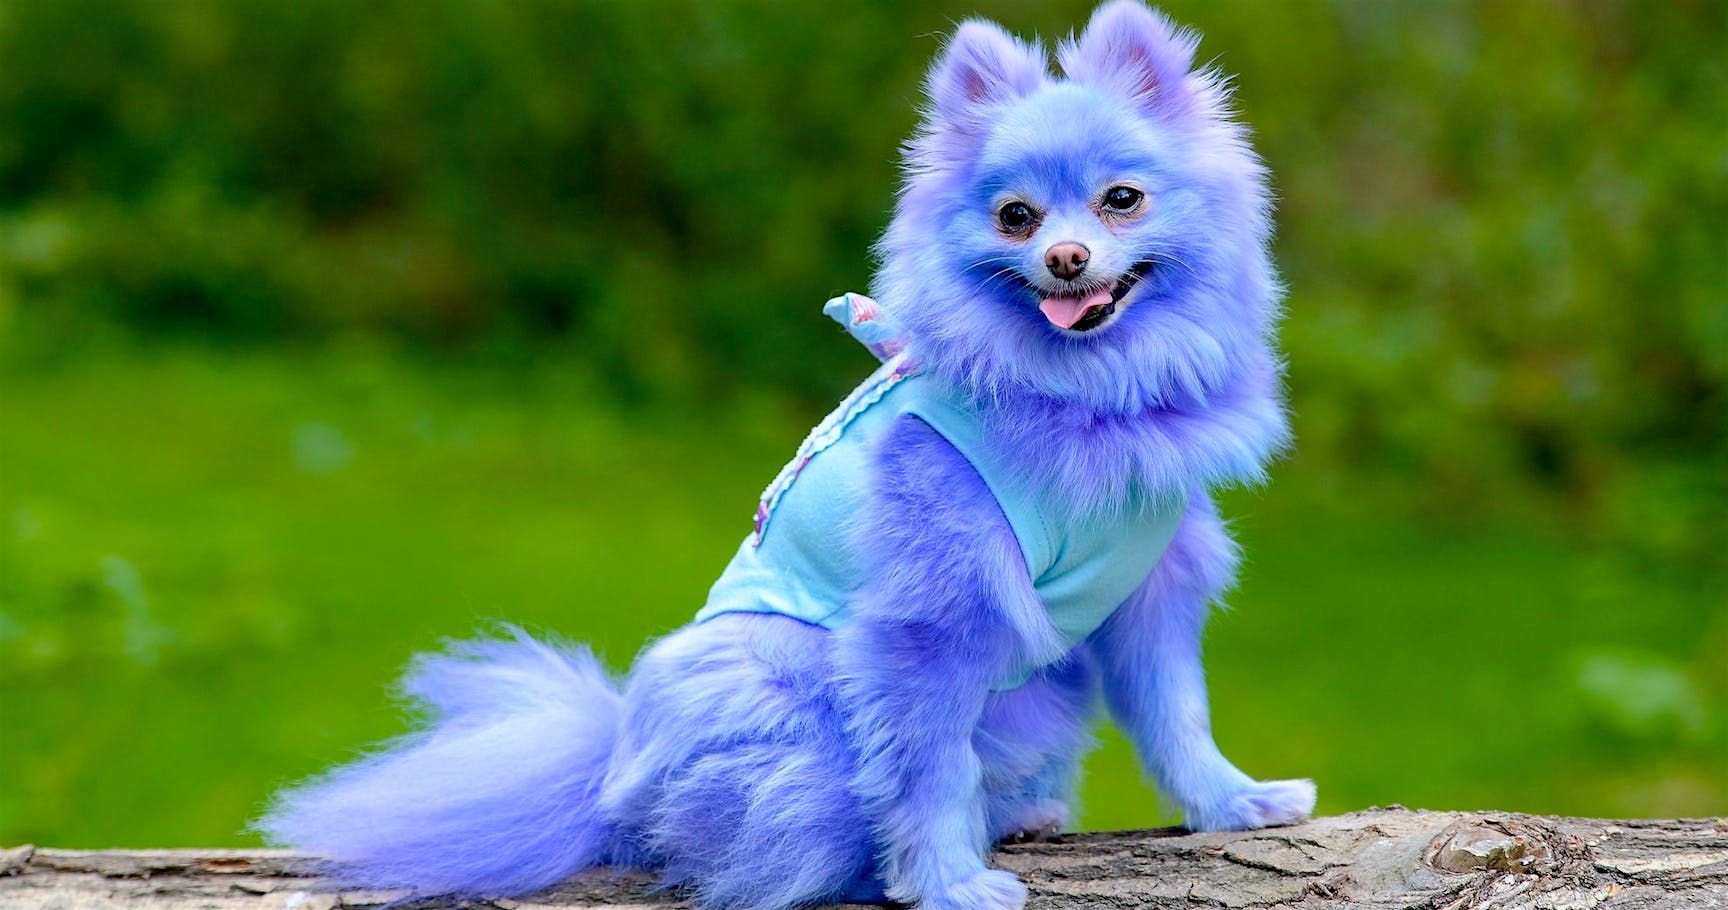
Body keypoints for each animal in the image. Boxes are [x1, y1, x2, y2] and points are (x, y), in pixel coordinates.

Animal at [252, 3, 1306, 904]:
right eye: (1015, 216)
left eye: (1122, 200)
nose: (1066, 258)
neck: (1084, 396)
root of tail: (610, 770)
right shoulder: (928, 625)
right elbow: (926, 767)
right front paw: (947, 882)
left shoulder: (1147, 595)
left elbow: (1177, 717)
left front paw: (1232, 803)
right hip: (795, 698)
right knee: (779, 831)